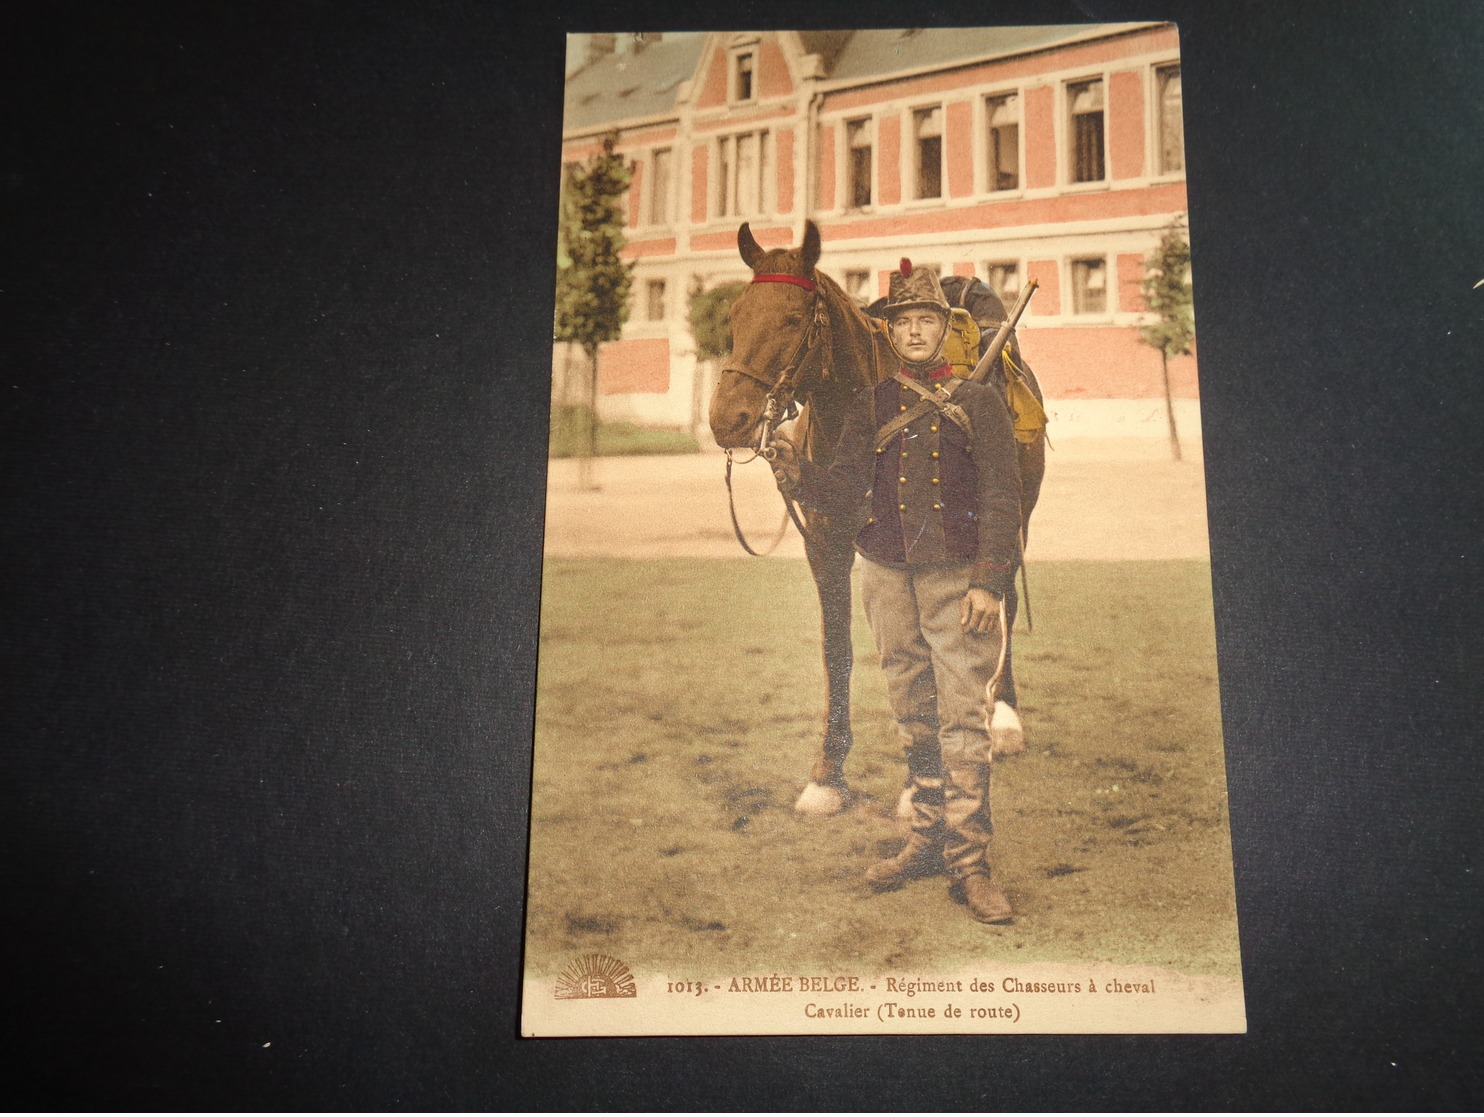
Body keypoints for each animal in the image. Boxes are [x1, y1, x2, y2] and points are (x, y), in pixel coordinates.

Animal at [706, 218, 1044, 812]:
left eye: (792, 318)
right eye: (735, 316)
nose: (728, 418)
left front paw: (922, 784)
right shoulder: (826, 547)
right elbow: (837, 649)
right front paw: (827, 772)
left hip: (1012, 519)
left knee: (1001, 603)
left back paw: (1002, 717)